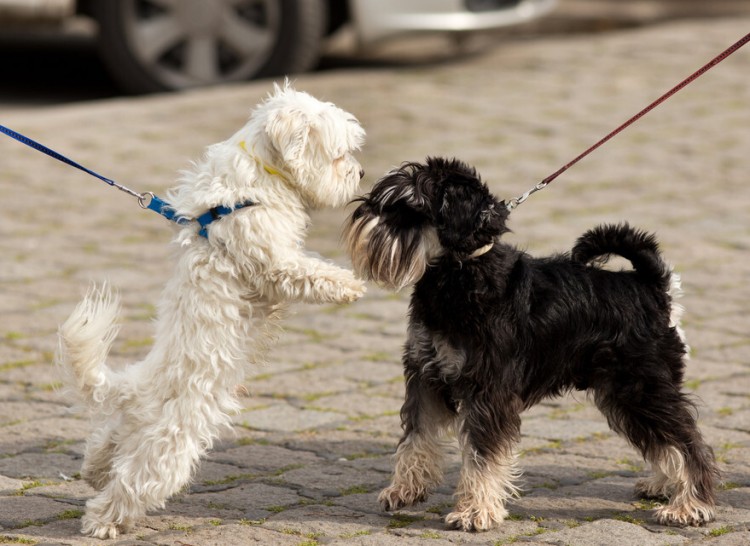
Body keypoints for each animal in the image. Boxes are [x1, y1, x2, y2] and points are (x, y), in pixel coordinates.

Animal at [55, 83, 368, 536]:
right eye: (340, 154)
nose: (360, 174)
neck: (259, 178)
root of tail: (141, 387)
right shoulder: (274, 262)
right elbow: (310, 272)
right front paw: (350, 285)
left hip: (130, 428)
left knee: (106, 443)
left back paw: (95, 472)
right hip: (170, 446)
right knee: (134, 483)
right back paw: (102, 521)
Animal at [344, 156, 720, 528]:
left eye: (409, 207)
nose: (361, 214)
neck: (460, 274)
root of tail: (653, 287)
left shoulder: (487, 390)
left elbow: (481, 454)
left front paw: (475, 511)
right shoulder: (426, 376)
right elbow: (416, 436)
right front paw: (405, 489)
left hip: (641, 388)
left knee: (688, 442)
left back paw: (689, 505)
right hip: (625, 395)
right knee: (665, 440)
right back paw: (663, 486)